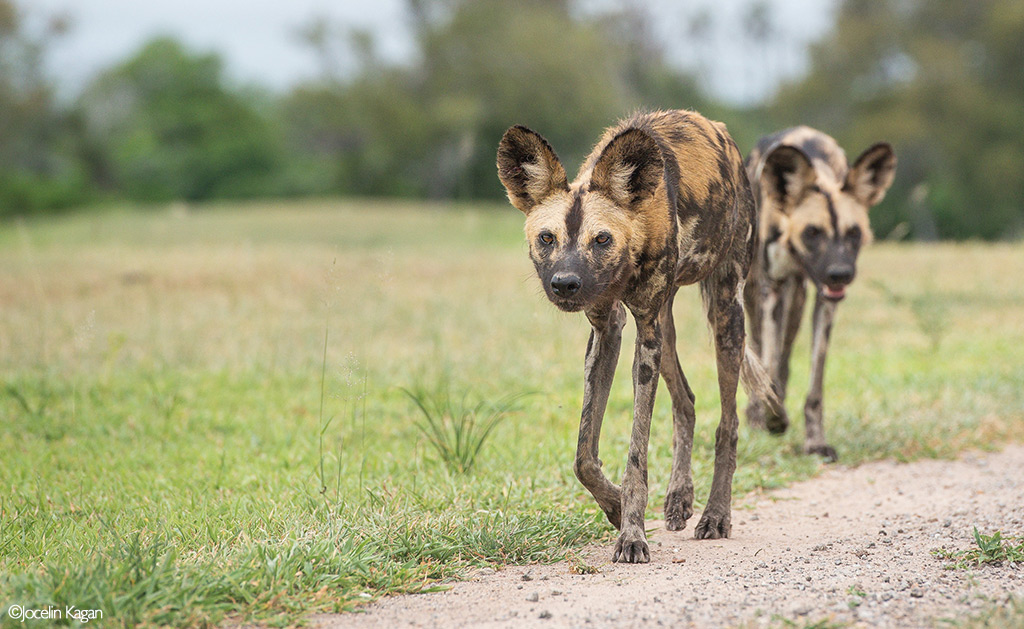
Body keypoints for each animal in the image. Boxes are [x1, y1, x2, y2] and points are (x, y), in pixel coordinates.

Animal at [497, 111, 774, 565]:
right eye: (547, 238)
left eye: (602, 239)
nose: (565, 284)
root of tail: (719, 129)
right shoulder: (607, 330)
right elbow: (584, 457)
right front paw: (613, 506)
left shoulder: (644, 338)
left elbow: (635, 456)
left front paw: (631, 534)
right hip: (666, 327)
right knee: (687, 402)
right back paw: (680, 497)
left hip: (724, 315)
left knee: (728, 423)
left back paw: (716, 515)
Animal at [745, 128, 897, 463]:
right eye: (812, 232)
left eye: (854, 232)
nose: (840, 273)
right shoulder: (773, 288)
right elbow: (767, 366)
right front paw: (773, 418)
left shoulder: (825, 301)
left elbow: (814, 384)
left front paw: (815, 442)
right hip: (755, 292)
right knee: (759, 349)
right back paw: (757, 415)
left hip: (797, 300)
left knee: (784, 358)